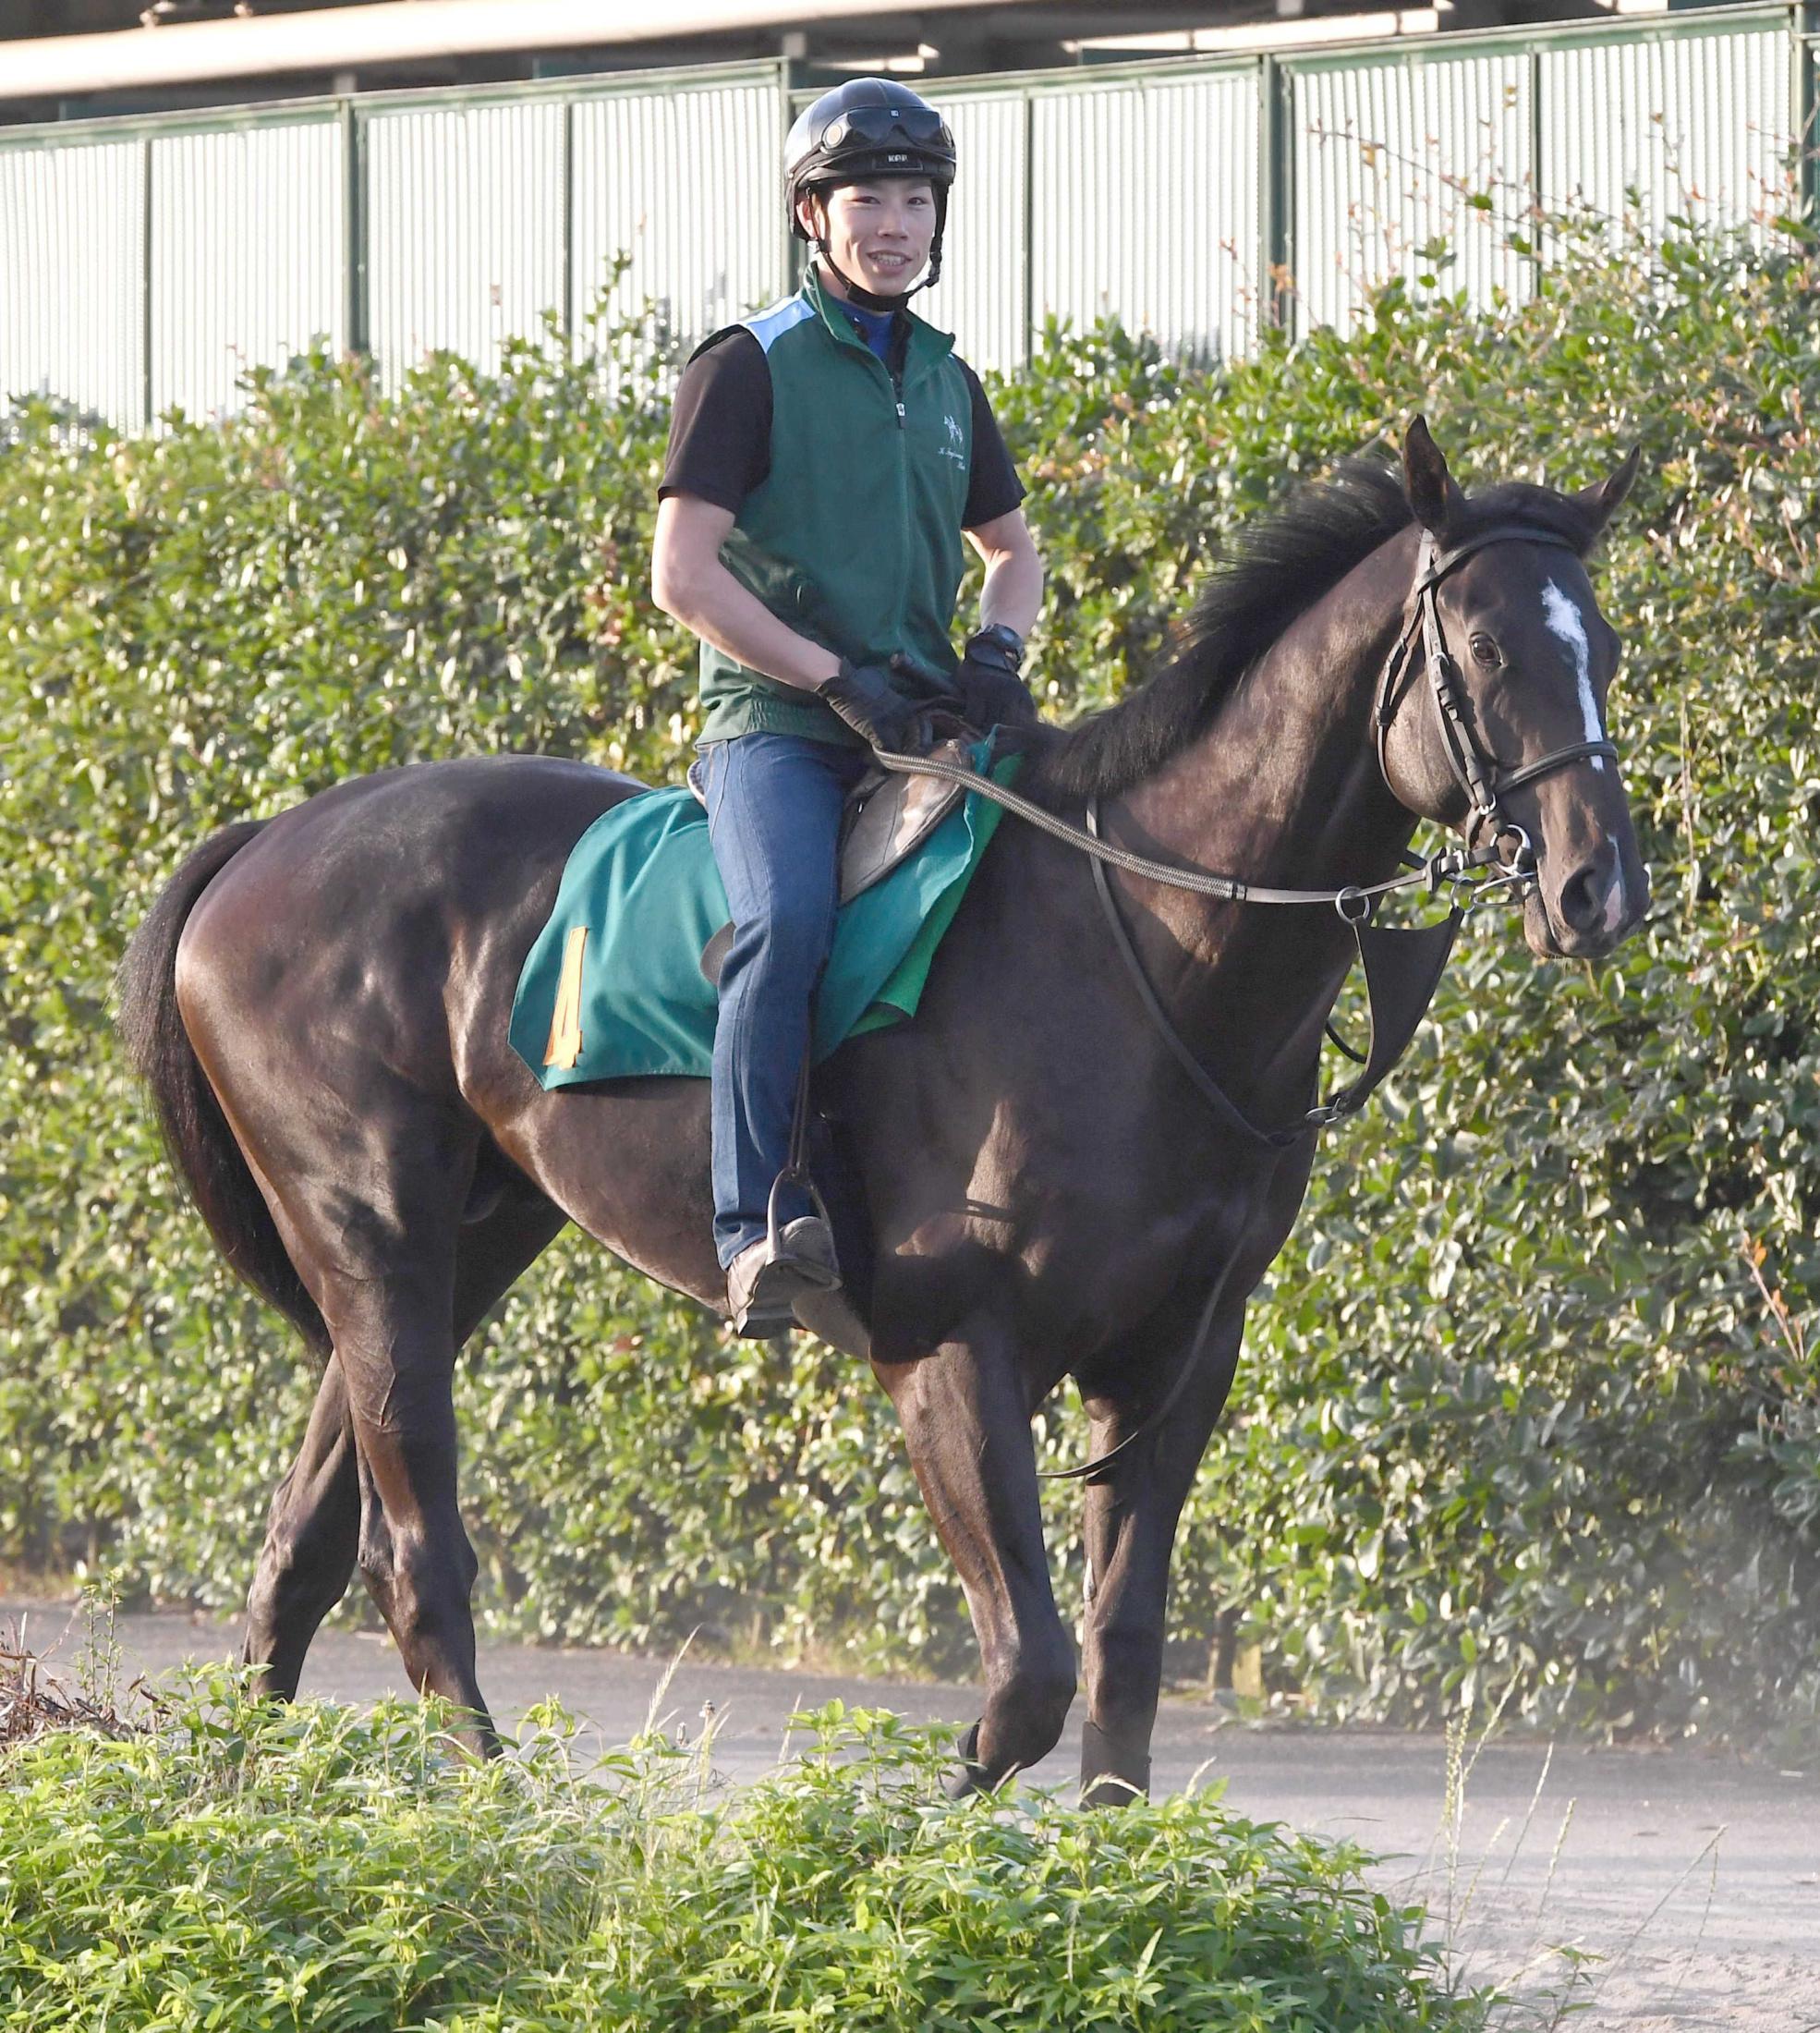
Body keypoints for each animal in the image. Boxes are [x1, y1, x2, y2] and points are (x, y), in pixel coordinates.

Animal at [117, 420, 1651, 1805]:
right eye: (1489, 653)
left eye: (1609, 648)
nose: (1595, 888)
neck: (1144, 948)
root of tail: (263, 840)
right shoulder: (952, 1352)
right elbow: (1028, 1675)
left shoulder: (1172, 1364)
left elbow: (1121, 1657)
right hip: (369, 1233)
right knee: (416, 1552)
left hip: (459, 1248)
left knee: (312, 1545)